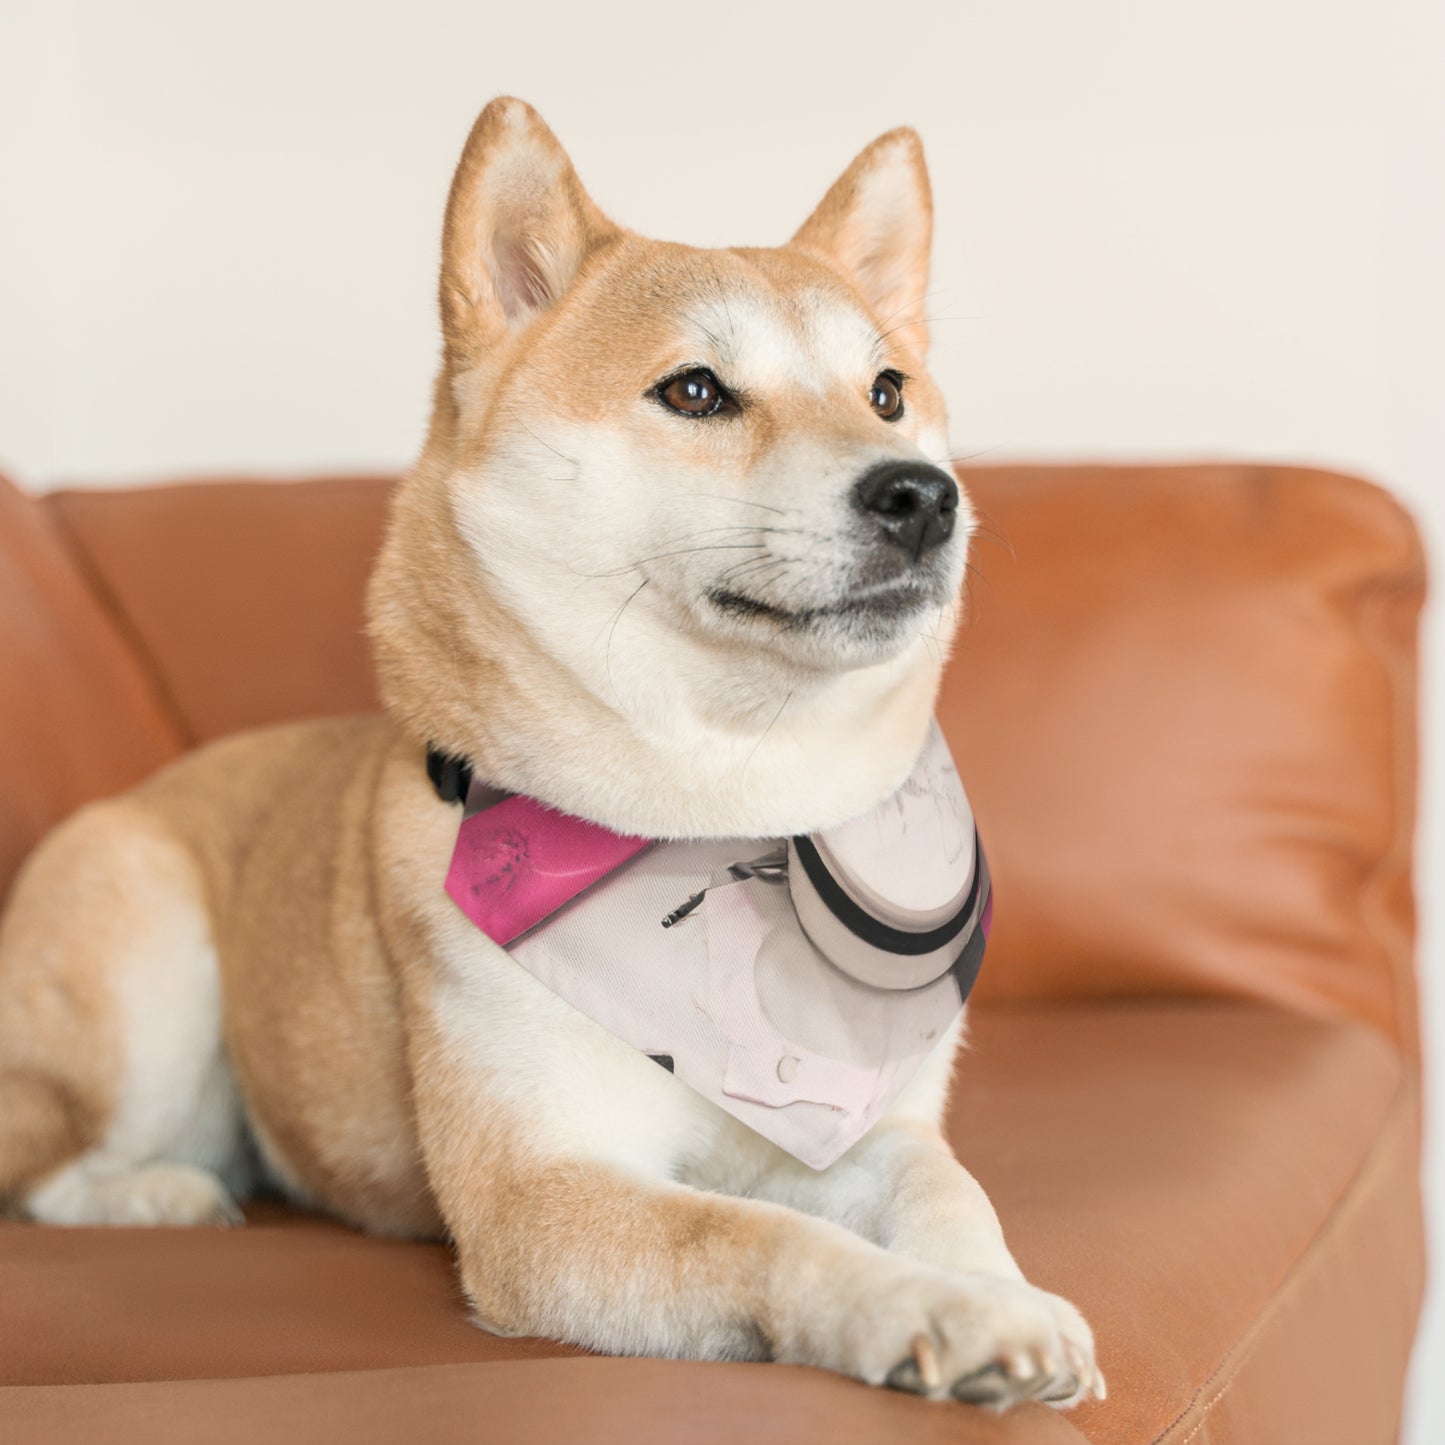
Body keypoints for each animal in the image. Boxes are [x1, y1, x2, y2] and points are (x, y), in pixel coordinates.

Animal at [0, 96, 1098, 1404]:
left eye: (886, 390)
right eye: (694, 390)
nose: (923, 494)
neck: (726, 812)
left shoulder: (873, 1123)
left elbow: (946, 1188)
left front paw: (1002, 1291)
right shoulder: (542, 1195)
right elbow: (766, 1235)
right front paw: (929, 1308)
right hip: (145, 967)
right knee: (48, 1168)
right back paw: (162, 1192)